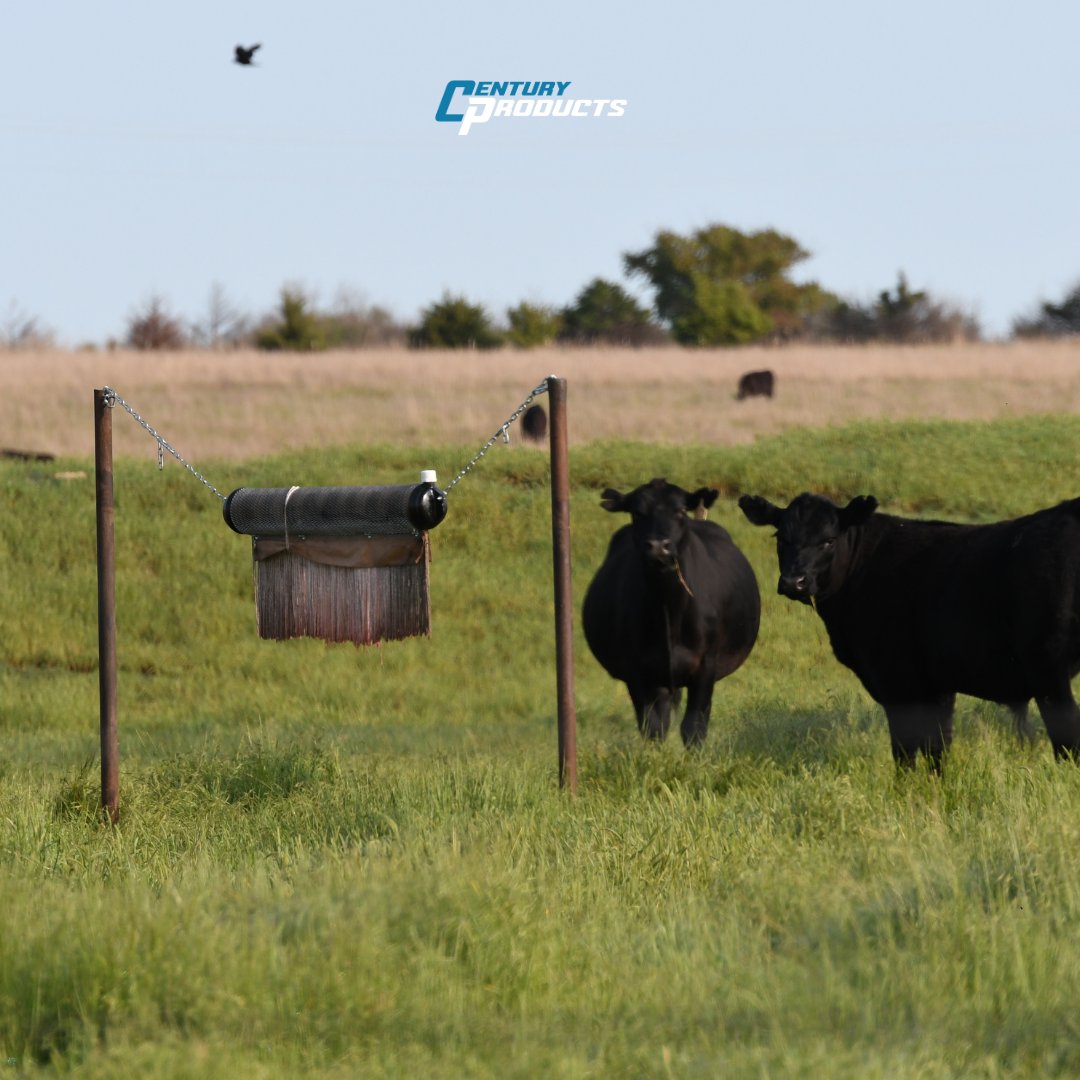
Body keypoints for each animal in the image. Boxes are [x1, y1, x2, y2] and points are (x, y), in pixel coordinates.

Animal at [583, 479, 761, 747]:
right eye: (637, 512)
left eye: (679, 511)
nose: (659, 546)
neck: (668, 610)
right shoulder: (636, 670)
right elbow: (653, 726)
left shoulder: (706, 665)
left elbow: (694, 726)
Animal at [738, 491, 1080, 769]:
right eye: (780, 537)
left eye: (828, 540)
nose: (793, 582)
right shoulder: (937, 683)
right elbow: (937, 748)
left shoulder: (895, 680)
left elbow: (906, 749)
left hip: (1048, 670)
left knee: (1067, 741)